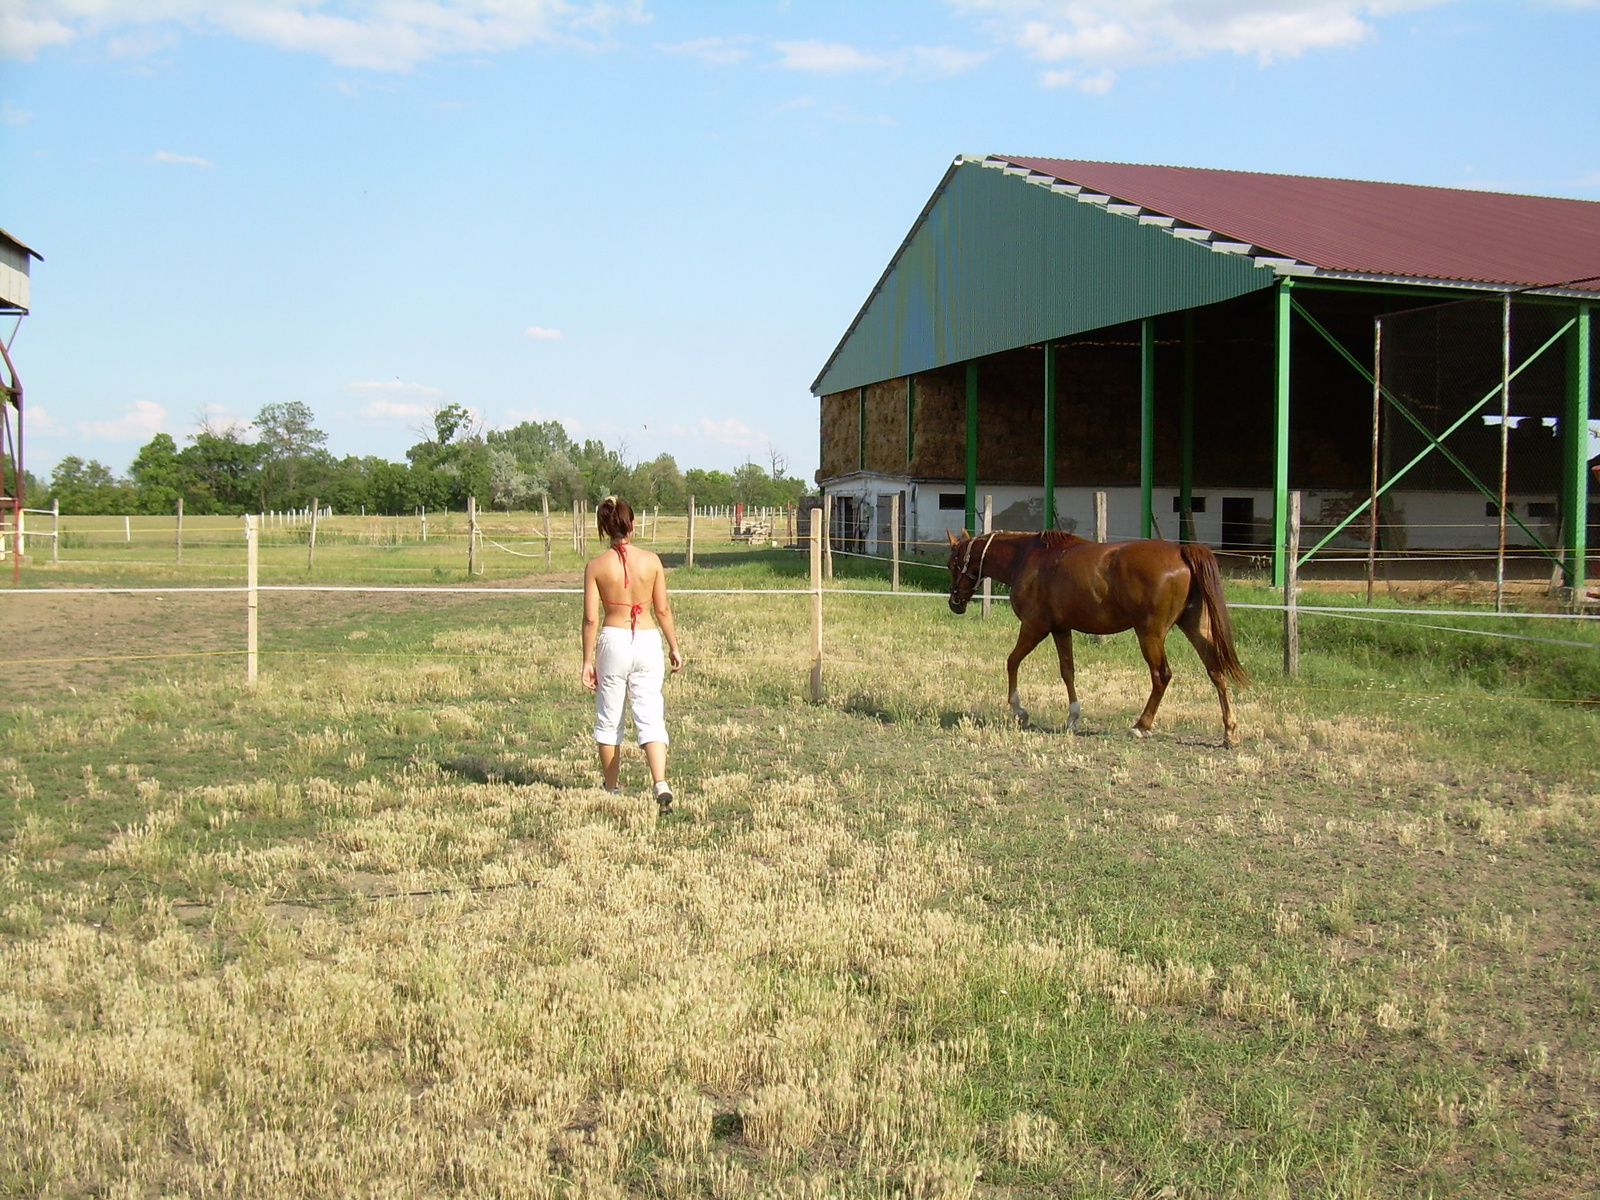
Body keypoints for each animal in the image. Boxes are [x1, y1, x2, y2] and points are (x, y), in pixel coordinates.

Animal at [947, 531, 1248, 748]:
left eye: (952, 563)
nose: (954, 603)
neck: (1028, 558)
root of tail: (1181, 551)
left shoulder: (1034, 627)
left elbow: (1012, 661)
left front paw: (1019, 711)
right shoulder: (1061, 629)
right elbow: (1067, 671)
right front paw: (1072, 717)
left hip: (1150, 633)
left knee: (1161, 675)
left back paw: (1141, 726)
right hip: (1194, 627)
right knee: (1216, 671)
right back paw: (1229, 732)